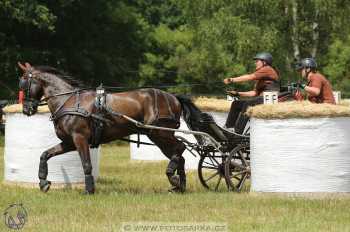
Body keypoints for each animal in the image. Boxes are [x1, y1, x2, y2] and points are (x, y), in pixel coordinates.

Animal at [17, 62, 197, 194]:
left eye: (24, 83)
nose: (26, 110)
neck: (68, 101)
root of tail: (174, 97)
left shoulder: (79, 138)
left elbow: (86, 164)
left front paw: (89, 190)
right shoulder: (69, 142)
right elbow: (45, 154)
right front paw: (43, 182)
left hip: (160, 133)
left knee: (180, 148)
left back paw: (174, 178)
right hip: (159, 137)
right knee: (179, 155)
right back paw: (179, 185)